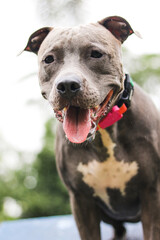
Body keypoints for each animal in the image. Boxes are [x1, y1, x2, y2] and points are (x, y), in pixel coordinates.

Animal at [24, 15, 160, 239]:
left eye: (96, 54)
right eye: (49, 59)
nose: (67, 85)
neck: (103, 133)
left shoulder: (152, 191)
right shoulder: (81, 200)